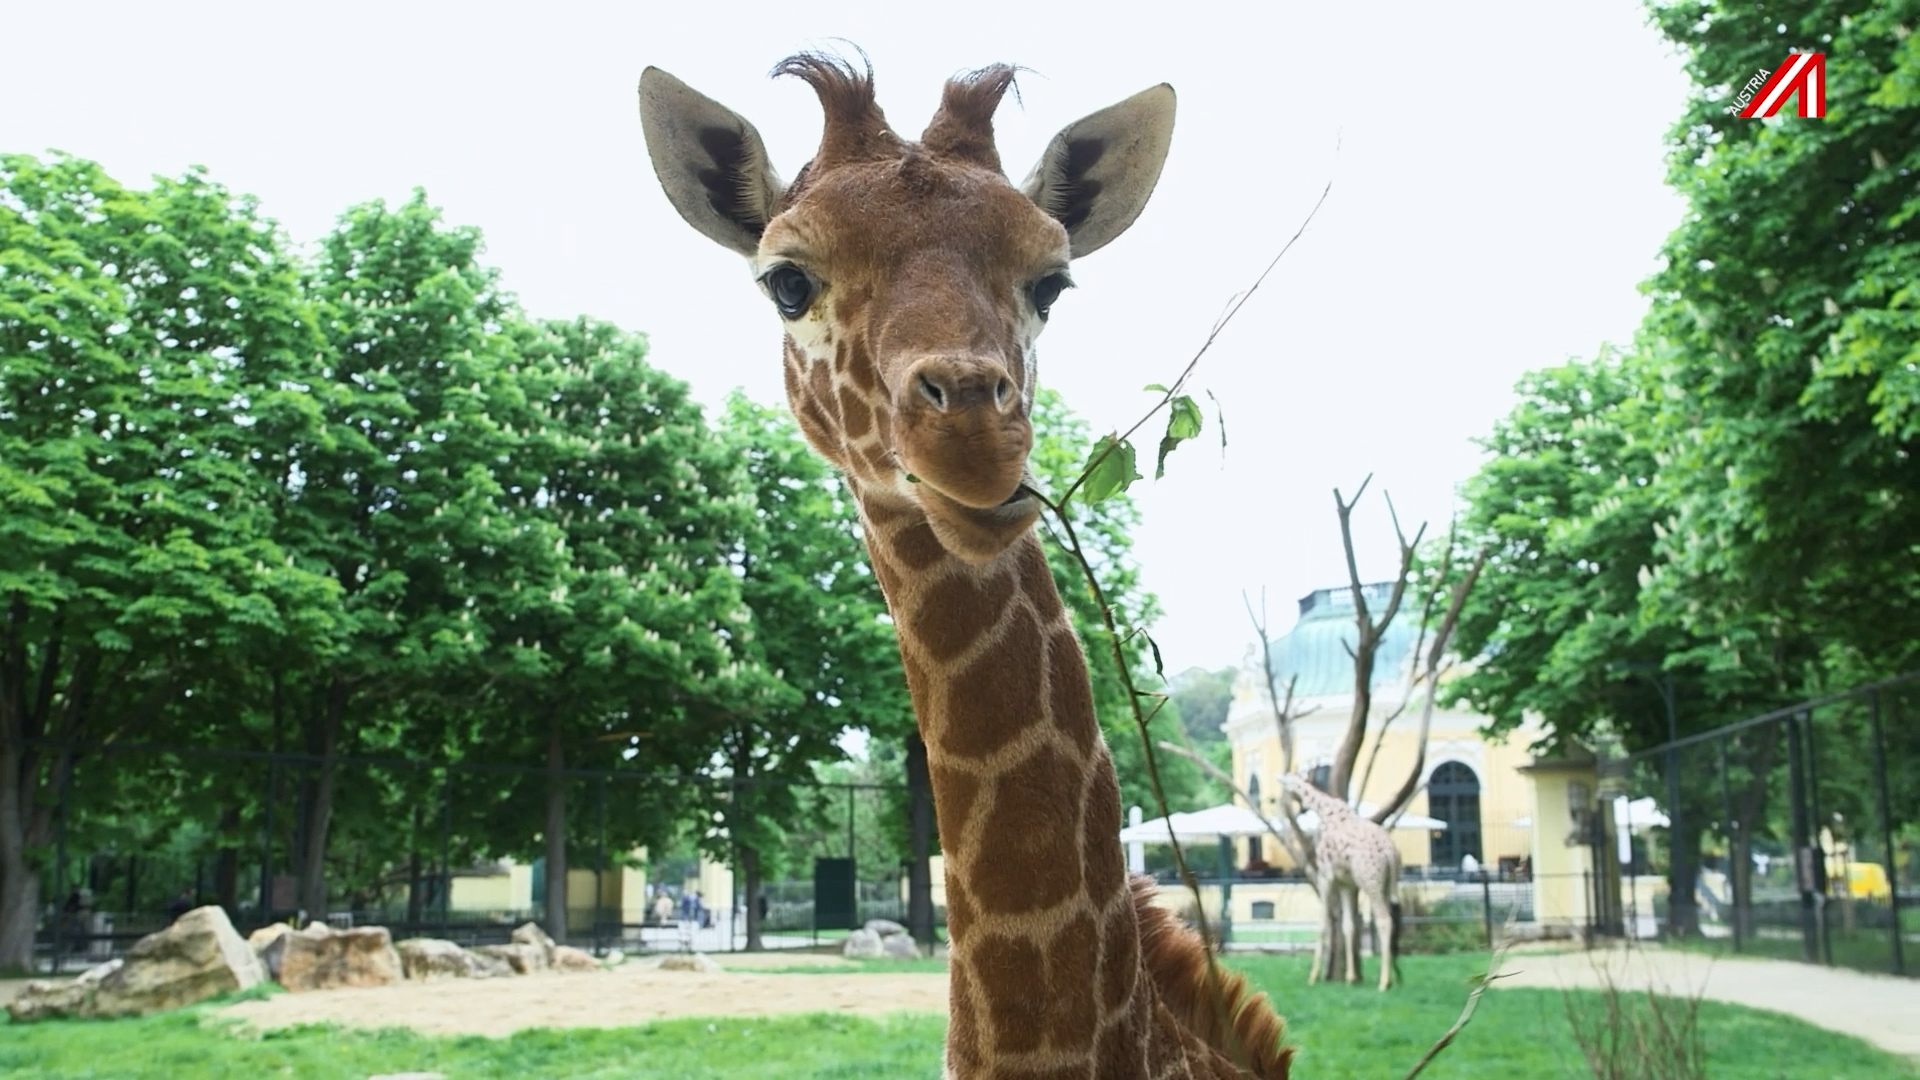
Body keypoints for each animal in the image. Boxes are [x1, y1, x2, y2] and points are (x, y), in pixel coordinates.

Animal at [1276, 773, 1401, 991]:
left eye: (1285, 787)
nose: (1293, 808)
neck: (1325, 812)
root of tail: (1390, 853)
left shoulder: (1325, 877)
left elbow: (1322, 924)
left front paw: (1313, 977)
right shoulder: (1347, 884)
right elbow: (1348, 926)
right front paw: (1350, 978)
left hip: (1370, 881)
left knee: (1384, 920)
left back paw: (1383, 982)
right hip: (1386, 884)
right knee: (1390, 919)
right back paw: (1393, 978)